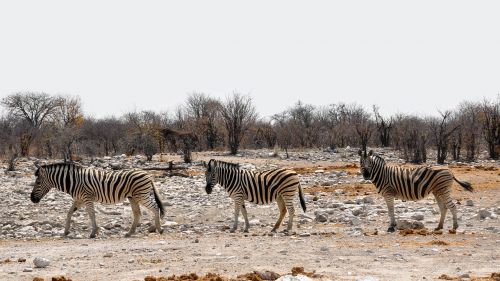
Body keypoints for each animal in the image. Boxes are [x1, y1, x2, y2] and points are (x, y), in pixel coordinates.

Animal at [30, 162, 165, 236]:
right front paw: (66, 231)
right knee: (137, 213)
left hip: (142, 195)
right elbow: (69, 213)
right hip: (133, 197)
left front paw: (94, 232)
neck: (73, 181)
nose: (31, 199)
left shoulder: (86, 198)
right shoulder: (79, 199)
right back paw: (129, 233)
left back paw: (159, 229)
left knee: (155, 207)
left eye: (37, 182)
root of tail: (147, 174)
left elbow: (91, 214)